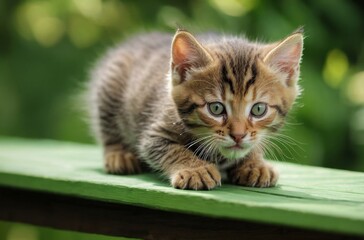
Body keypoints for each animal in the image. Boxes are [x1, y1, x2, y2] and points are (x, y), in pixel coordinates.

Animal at [89, 28, 304, 189]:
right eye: (216, 108)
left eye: (258, 109)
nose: (238, 135)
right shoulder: (154, 133)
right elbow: (171, 149)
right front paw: (196, 170)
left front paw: (255, 163)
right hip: (110, 84)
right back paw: (119, 155)